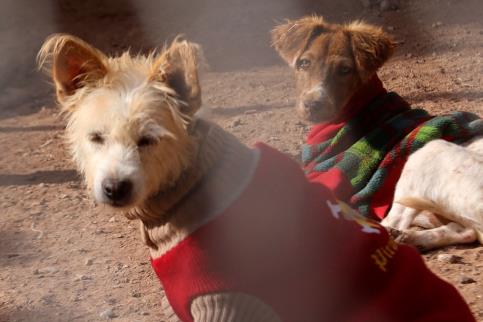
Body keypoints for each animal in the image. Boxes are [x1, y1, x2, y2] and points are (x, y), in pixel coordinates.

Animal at [272, 15, 483, 252]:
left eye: (345, 70)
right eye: (304, 63)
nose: (312, 105)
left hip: (426, 153)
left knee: (391, 224)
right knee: (463, 231)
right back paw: (410, 238)